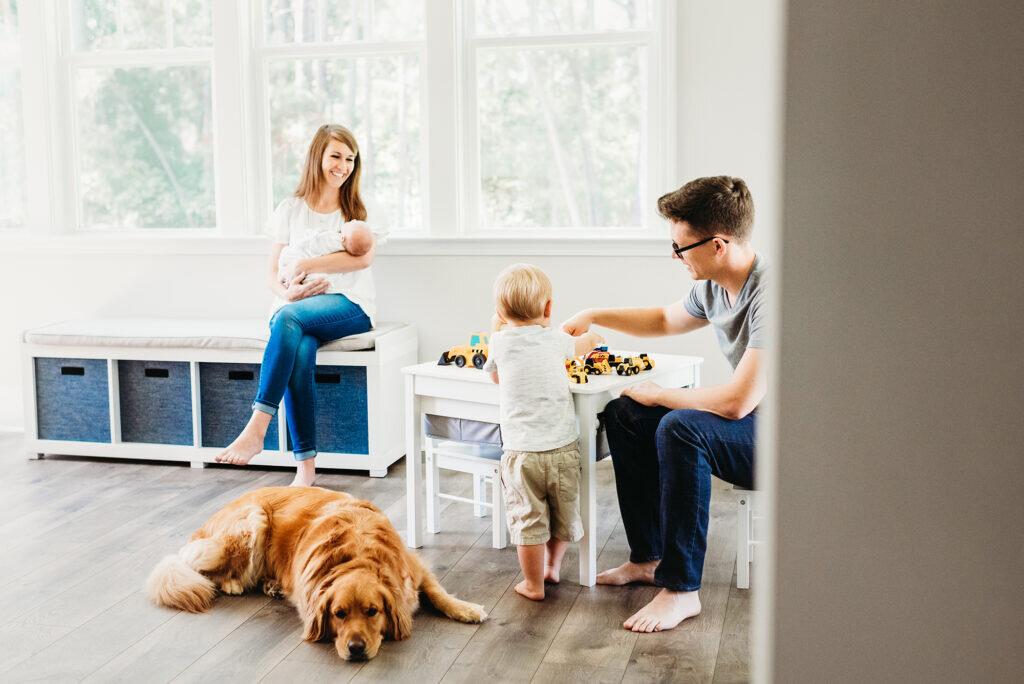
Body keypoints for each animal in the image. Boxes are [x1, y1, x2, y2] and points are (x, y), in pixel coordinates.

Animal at [143, 483, 487, 659]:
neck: (357, 557)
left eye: (372, 611)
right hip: (252, 523)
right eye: (339, 614)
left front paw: (466, 609)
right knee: (196, 566)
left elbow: (439, 593)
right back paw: (233, 583)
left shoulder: (415, 570)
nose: (356, 649)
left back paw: (271, 585)